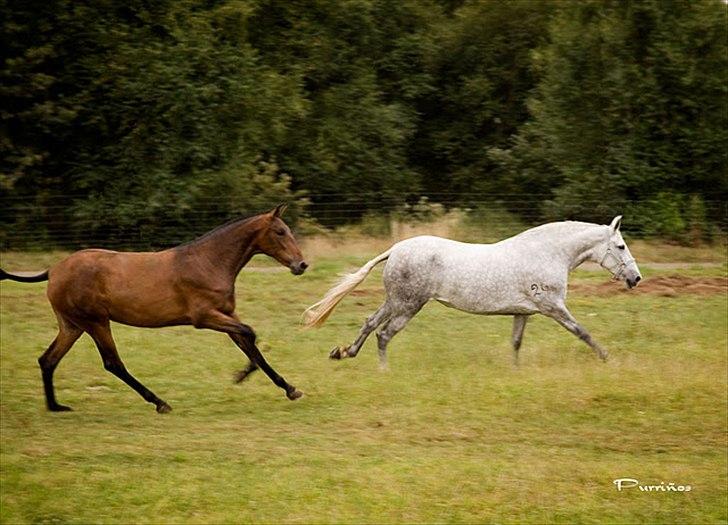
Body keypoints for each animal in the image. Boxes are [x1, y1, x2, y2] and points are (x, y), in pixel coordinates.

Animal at [0, 205, 308, 414]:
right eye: (280, 232)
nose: (301, 265)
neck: (208, 262)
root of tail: (53, 271)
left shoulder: (226, 315)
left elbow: (249, 344)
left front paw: (289, 388)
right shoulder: (204, 317)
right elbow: (251, 334)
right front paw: (242, 375)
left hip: (72, 326)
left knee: (48, 359)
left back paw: (55, 406)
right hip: (96, 322)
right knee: (112, 363)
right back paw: (160, 402)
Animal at [304, 214, 640, 364]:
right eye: (621, 246)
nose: (636, 279)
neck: (549, 253)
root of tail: (395, 249)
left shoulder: (524, 312)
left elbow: (516, 343)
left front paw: (514, 372)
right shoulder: (553, 307)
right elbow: (582, 332)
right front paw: (607, 358)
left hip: (396, 301)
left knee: (370, 323)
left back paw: (343, 353)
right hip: (409, 305)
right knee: (384, 334)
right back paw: (383, 372)